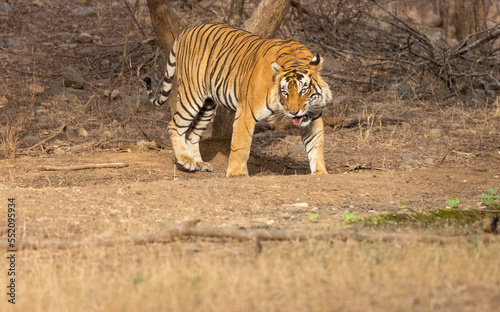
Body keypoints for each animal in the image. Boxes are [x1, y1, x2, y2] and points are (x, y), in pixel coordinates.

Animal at [144, 23, 332, 177]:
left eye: (303, 90)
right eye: (285, 93)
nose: (294, 112)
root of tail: (188, 29)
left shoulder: (314, 115)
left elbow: (316, 145)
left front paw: (320, 172)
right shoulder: (246, 112)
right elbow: (241, 145)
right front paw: (236, 174)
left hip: (207, 105)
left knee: (192, 134)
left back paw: (199, 163)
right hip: (191, 95)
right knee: (175, 125)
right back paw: (185, 160)